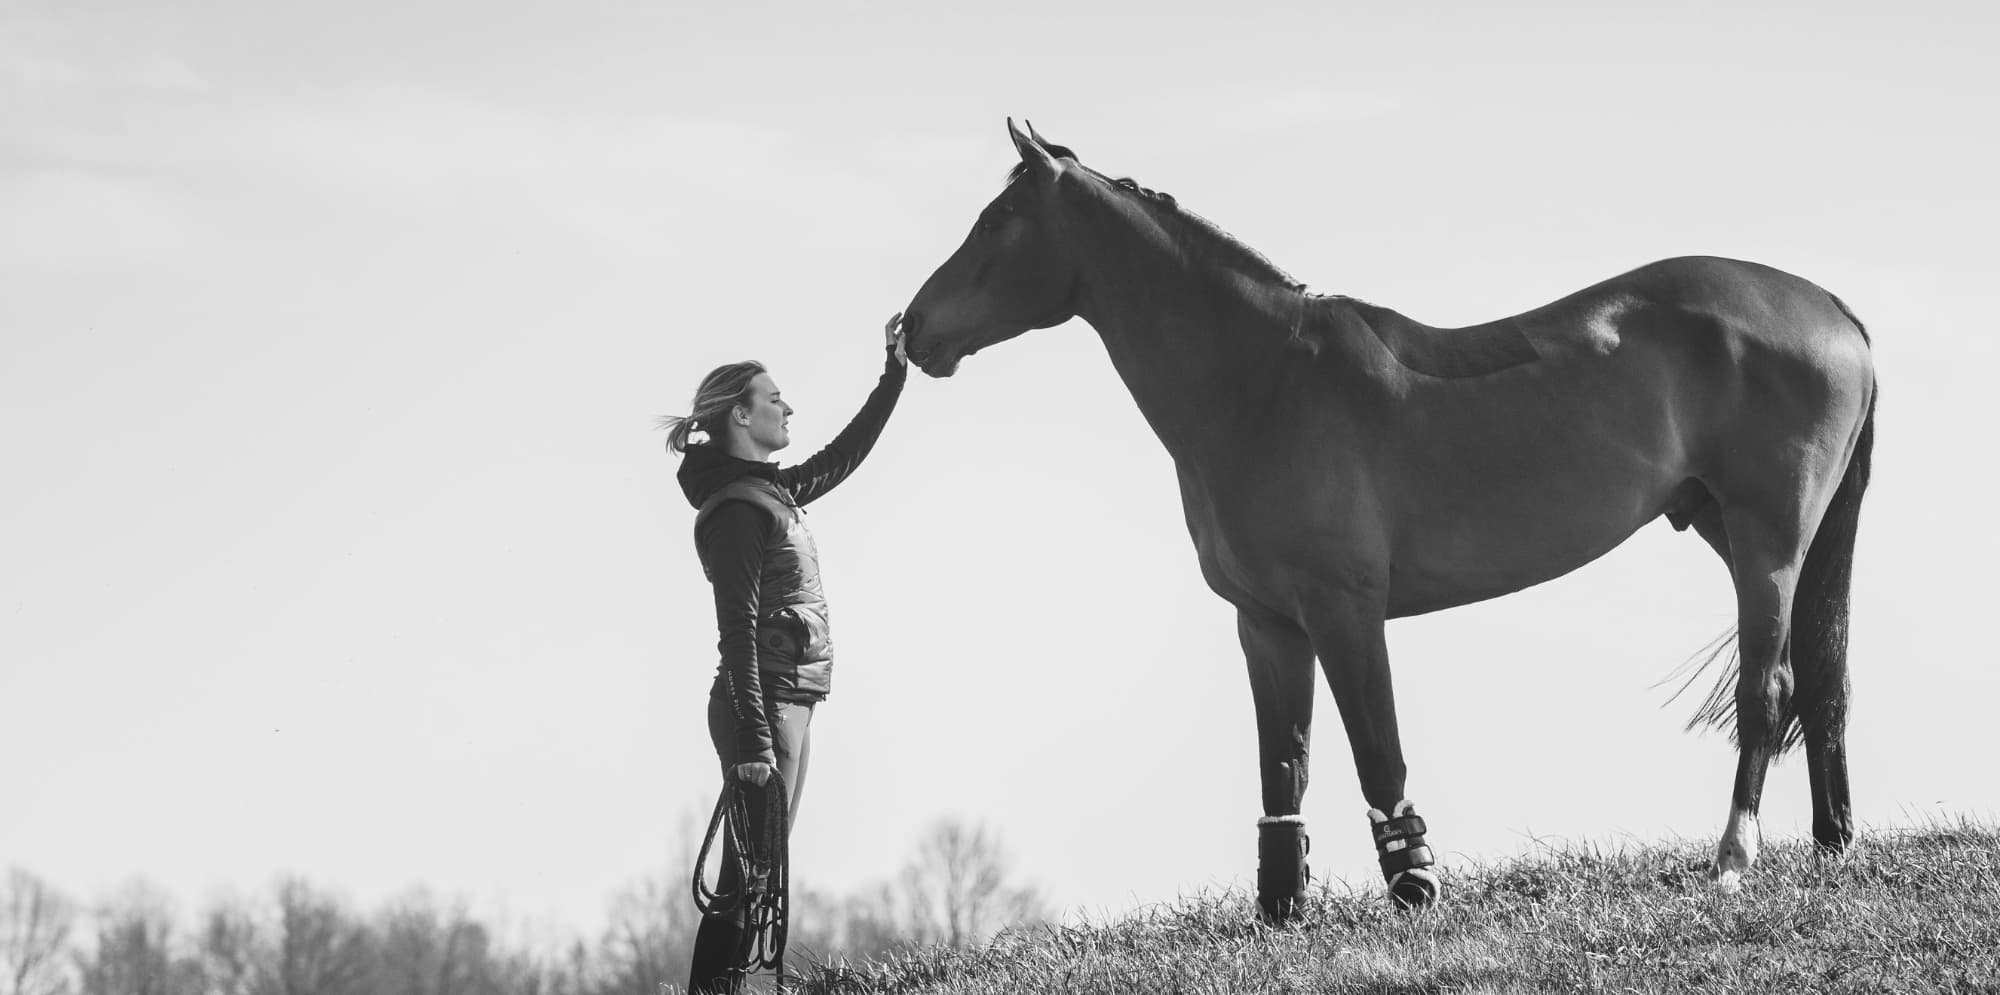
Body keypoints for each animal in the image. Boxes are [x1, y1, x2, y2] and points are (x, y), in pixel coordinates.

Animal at [900, 118, 1880, 919]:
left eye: (997, 220)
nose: (912, 328)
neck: (1264, 382)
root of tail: (1834, 309)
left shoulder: (1345, 610)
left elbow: (1378, 748)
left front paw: (1414, 886)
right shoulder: (1267, 625)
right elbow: (1284, 762)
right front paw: (1281, 907)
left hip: (1766, 540)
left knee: (1769, 690)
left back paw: (1733, 859)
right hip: (1748, 532)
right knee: (1819, 681)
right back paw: (1830, 848)